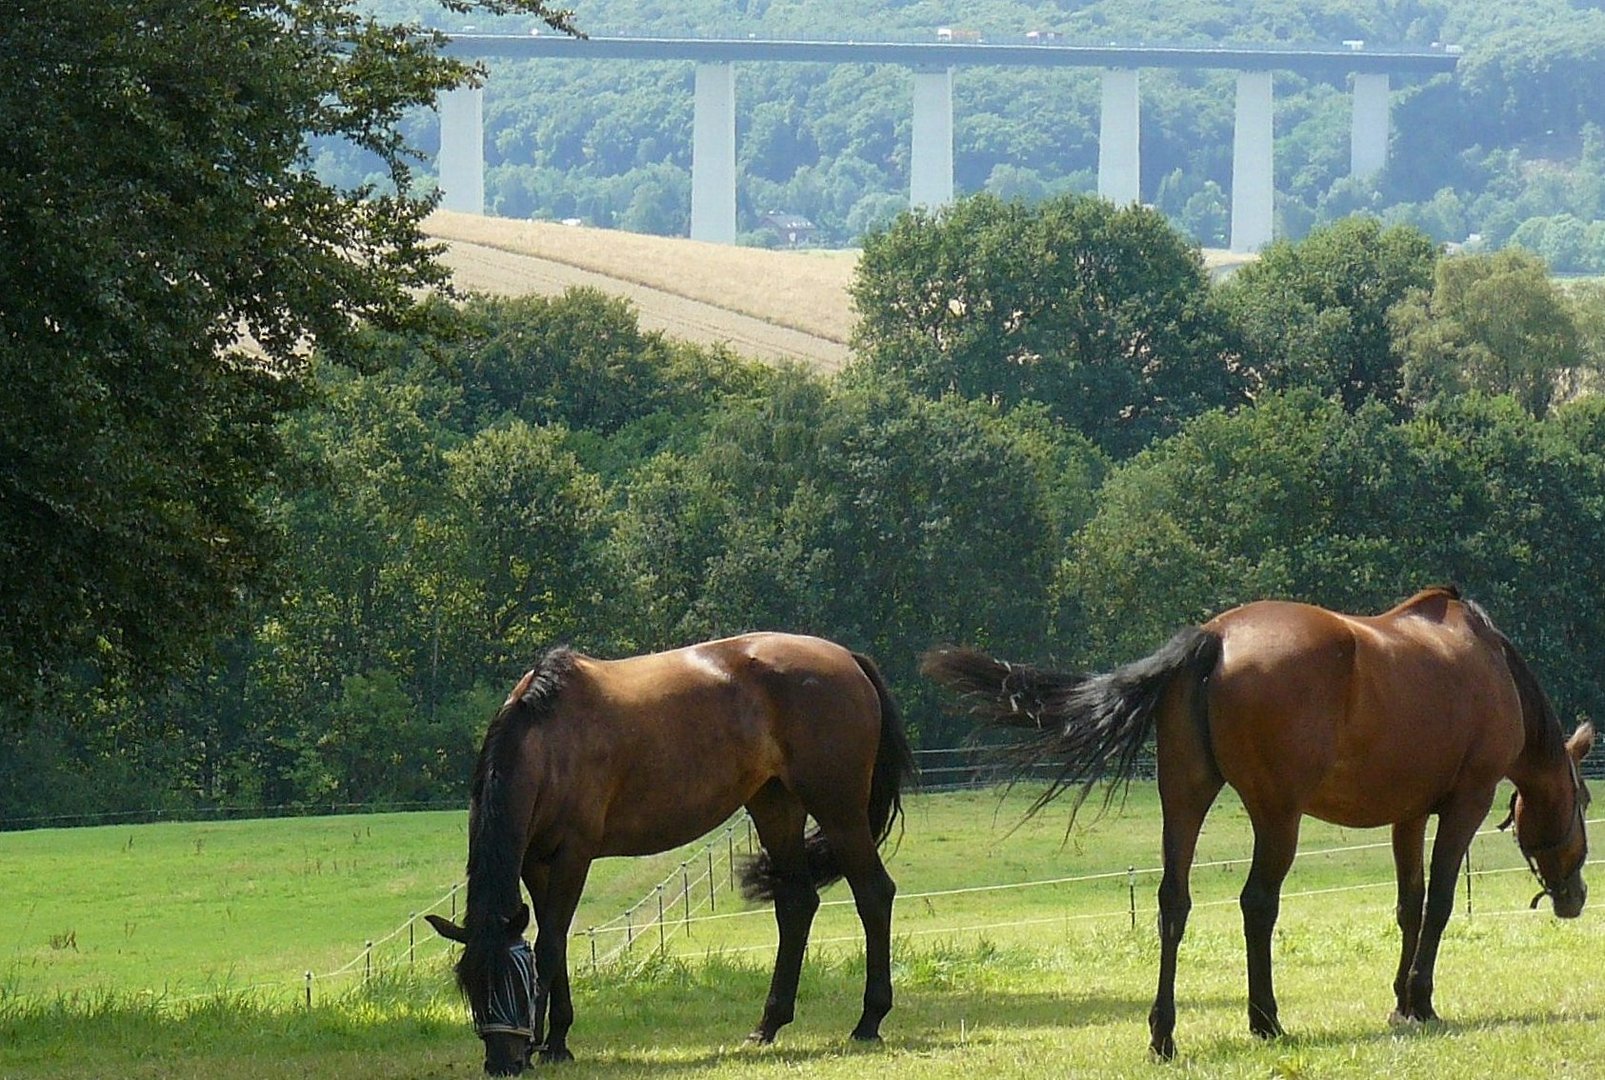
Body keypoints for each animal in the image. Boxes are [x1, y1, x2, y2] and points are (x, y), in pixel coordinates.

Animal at [423, 632, 918, 1071]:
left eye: (517, 985)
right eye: (473, 987)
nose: (502, 1063)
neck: (548, 741)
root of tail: (848, 659)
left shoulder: (573, 854)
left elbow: (549, 945)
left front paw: (546, 1044)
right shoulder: (534, 861)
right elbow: (555, 941)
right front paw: (557, 1042)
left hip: (838, 809)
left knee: (874, 893)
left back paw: (869, 1020)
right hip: (775, 805)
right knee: (797, 903)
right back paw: (768, 1025)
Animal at [930, 584, 1592, 1059]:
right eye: (1584, 801)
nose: (1576, 898)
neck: (1486, 662)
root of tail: (1214, 639)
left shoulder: (1405, 815)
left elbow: (1409, 905)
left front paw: (1401, 1002)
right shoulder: (1463, 805)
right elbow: (1439, 905)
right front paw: (1421, 1003)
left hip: (1185, 800)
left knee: (1173, 903)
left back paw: (1164, 1033)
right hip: (1277, 817)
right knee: (1257, 903)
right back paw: (1265, 1018)